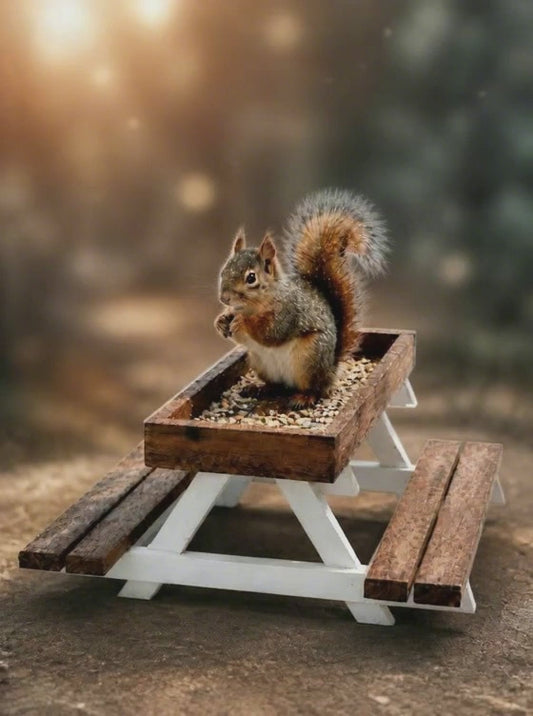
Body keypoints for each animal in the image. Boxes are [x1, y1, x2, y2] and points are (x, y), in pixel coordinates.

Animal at [214, 188, 388, 408]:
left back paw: (303, 398)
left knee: (315, 389)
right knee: (277, 386)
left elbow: (271, 333)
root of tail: (330, 371)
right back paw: (260, 388)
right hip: (260, 363)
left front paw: (241, 323)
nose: (224, 299)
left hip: (309, 358)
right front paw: (221, 320)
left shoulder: (288, 312)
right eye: (223, 271)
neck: (254, 305)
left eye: (251, 278)